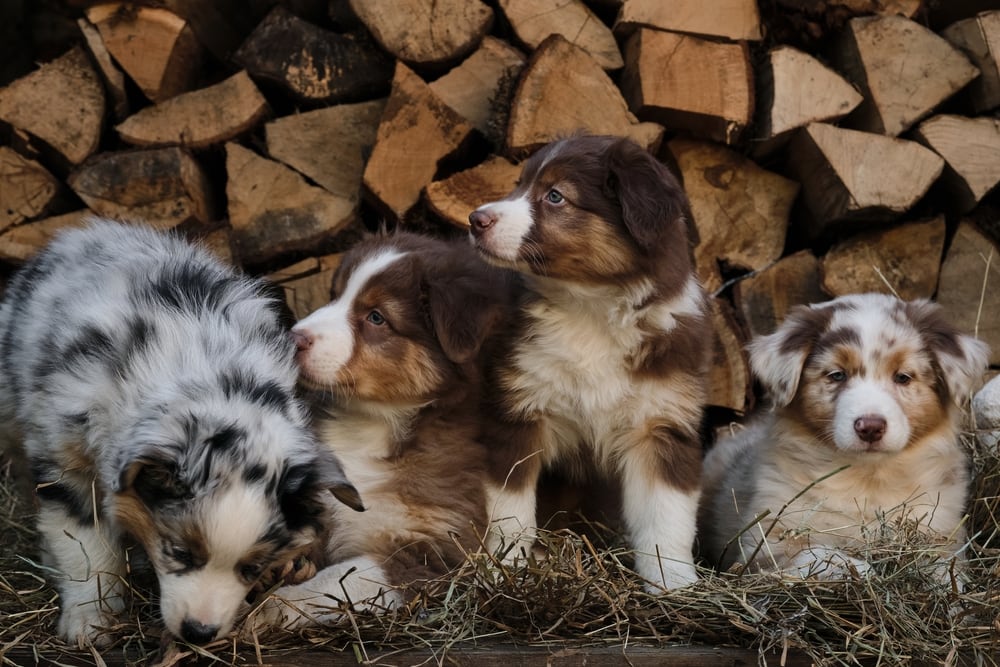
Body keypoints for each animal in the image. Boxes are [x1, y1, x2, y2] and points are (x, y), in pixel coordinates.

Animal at [250, 232, 516, 628]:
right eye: (334, 294)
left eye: (376, 317)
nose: (290, 338)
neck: (370, 425)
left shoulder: (437, 546)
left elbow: (345, 577)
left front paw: (276, 605)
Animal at [468, 134, 712, 588]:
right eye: (519, 184)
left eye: (555, 196)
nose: (475, 219)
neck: (589, 310)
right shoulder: (517, 412)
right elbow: (511, 509)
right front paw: (507, 571)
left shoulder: (660, 423)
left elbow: (666, 516)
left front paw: (674, 583)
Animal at [700, 292, 988, 580]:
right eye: (837, 375)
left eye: (903, 377)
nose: (870, 427)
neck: (868, 478)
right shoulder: (767, 543)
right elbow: (821, 553)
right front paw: (862, 569)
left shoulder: (942, 530)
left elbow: (943, 567)